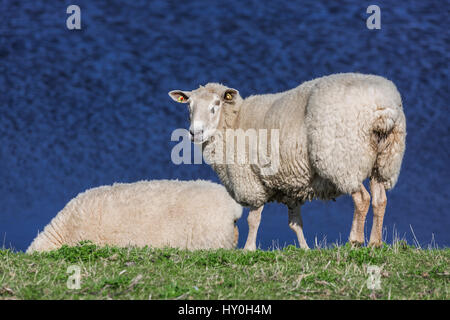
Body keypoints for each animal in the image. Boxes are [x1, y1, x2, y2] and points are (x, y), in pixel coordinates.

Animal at [170, 72, 408, 250]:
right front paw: (305, 249)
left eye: (216, 104)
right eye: (189, 106)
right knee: (380, 199)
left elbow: (253, 220)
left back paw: (355, 240)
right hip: (385, 160)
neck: (233, 123)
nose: (195, 132)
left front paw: (248, 249)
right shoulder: (290, 188)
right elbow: (296, 224)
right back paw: (375, 243)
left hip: (343, 160)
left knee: (362, 199)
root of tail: (381, 108)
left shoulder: (252, 181)